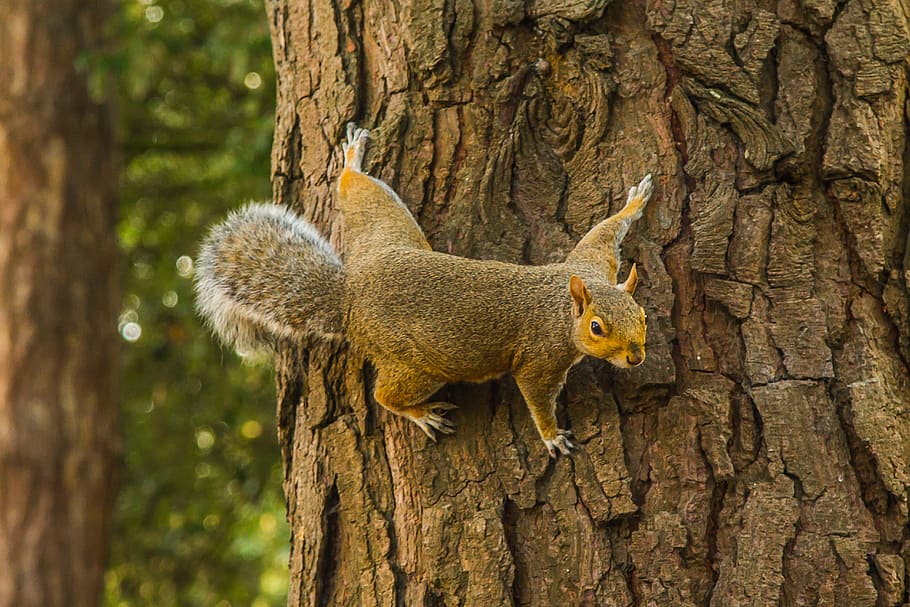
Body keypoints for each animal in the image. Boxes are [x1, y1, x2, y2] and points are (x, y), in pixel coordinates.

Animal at [195, 124, 653, 457]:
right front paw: (552, 436)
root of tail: (350, 296)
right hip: (421, 363)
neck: (563, 306)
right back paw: (420, 414)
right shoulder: (540, 357)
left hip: (386, 229)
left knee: (356, 190)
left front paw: (634, 203)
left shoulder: (591, 263)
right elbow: (536, 396)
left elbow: (603, 232)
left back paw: (353, 160)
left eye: (643, 316)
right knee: (385, 395)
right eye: (596, 328)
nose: (635, 357)